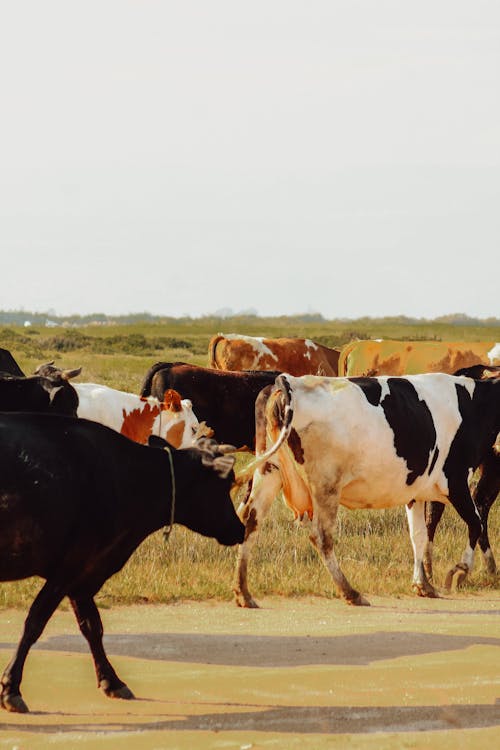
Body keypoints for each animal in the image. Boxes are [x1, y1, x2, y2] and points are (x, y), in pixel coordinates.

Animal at [0, 414, 243, 712]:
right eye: (226, 483)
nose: (240, 529)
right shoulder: (70, 565)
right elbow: (35, 622)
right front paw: (11, 688)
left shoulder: (85, 572)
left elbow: (92, 627)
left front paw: (112, 681)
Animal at [234, 374, 500, 608]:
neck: (476, 405)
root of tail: (289, 382)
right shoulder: (455, 481)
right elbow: (476, 523)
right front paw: (459, 572)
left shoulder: (416, 492)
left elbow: (419, 536)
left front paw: (423, 584)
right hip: (325, 485)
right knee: (321, 537)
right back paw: (351, 592)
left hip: (270, 471)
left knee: (250, 522)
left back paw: (243, 593)